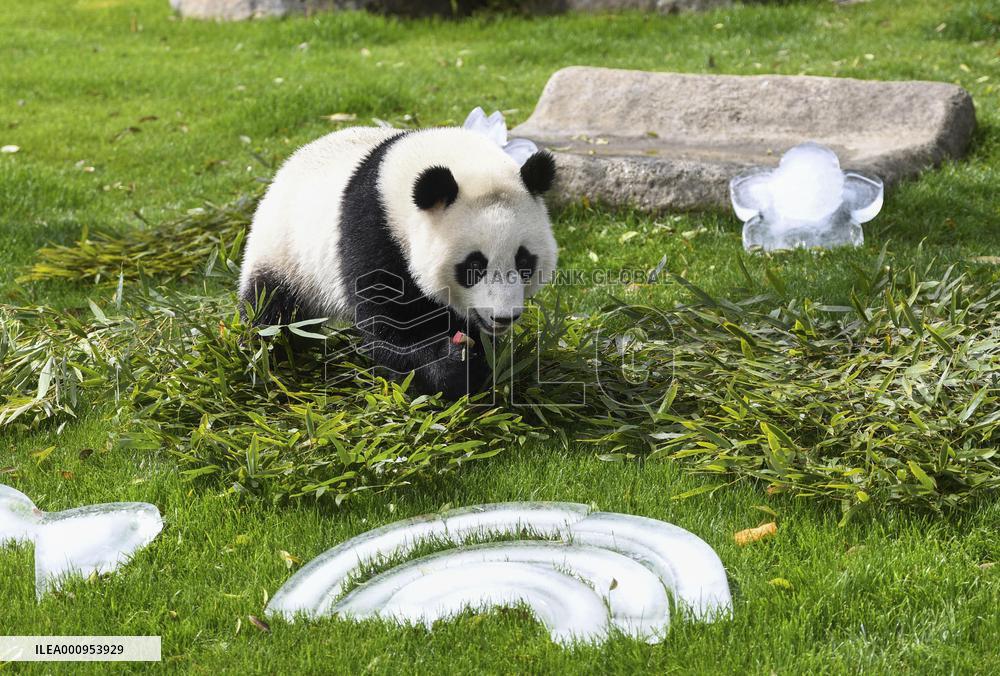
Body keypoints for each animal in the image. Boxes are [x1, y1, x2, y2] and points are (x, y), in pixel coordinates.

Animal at [238, 126, 559, 400]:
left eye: (524, 261)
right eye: (474, 266)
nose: (503, 317)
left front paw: (480, 365)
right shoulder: (373, 232)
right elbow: (390, 324)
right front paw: (450, 367)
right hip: (286, 251)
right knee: (271, 307)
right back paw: (270, 354)